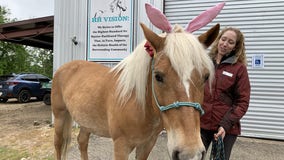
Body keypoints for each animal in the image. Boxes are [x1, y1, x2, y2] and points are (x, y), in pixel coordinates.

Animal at [51, 2, 224, 160]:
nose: (190, 154)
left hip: (86, 121)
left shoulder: (147, 144)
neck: (138, 104)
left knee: (82, 141)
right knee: (58, 144)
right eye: (158, 76)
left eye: (206, 76)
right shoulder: (121, 146)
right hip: (60, 116)